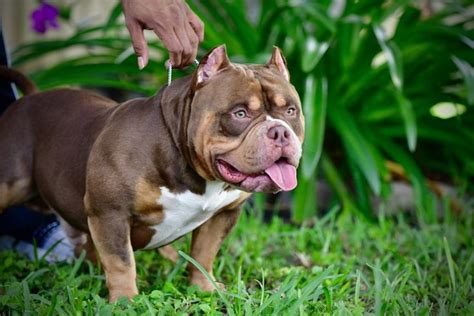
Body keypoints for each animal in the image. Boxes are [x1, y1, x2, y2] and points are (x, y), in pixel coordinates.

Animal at [0, 45, 304, 302]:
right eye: (240, 114)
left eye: (291, 111)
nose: (279, 132)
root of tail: (30, 97)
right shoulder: (110, 213)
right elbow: (121, 261)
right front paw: (125, 300)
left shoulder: (224, 214)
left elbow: (204, 253)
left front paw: (204, 288)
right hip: (11, 182)